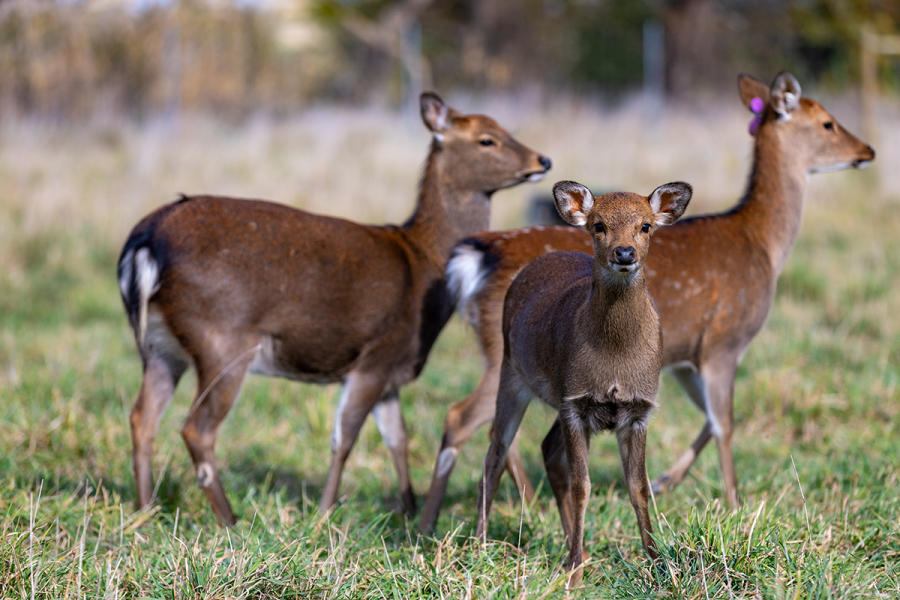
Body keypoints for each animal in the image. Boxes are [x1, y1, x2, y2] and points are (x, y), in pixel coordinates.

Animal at [117, 92, 551, 525]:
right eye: (487, 139)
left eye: (505, 128)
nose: (542, 160)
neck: (422, 261)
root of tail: (144, 243)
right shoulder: (375, 355)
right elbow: (345, 437)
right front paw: (326, 513)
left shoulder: (392, 371)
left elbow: (397, 438)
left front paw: (407, 510)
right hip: (223, 340)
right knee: (197, 428)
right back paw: (229, 519)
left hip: (159, 345)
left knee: (142, 418)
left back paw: (146, 510)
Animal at [421, 71, 876, 533]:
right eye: (827, 122)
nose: (868, 150)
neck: (762, 245)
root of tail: (475, 258)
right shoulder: (724, 340)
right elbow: (725, 423)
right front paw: (733, 504)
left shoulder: (685, 358)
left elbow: (708, 419)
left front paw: (664, 480)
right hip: (506, 354)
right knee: (462, 417)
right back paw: (436, 523)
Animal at [476, 180, 692, 587]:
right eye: (599, 225)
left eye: (645, 226)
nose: (623, 253)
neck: (615, 359)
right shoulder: (575, 404)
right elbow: (583, 486)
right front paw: (574, 573)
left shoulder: (638, 411)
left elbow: (638, 487)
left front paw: (658, 563)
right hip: (512, 373)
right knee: (495, 451)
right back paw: (479, 545)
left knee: (546, 448)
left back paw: (575, 548)